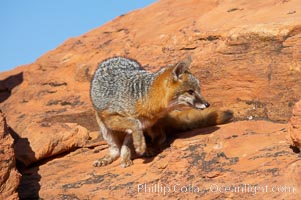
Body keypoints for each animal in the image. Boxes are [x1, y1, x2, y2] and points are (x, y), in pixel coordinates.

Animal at [89, 56, 232, 167]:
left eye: (199, 90)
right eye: (191, 92)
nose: (207, 104)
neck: (145, 98)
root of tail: (113, 58)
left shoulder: (141, 126)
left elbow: (129, 142)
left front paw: (134, 152)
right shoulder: (110, 117)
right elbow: (134, 124)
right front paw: (140, 146)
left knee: (160, 137)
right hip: (103, 127)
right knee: (115, 149)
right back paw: (109, 158)